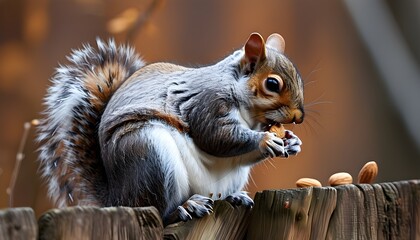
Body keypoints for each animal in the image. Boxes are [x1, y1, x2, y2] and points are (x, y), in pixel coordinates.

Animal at [37, 32, 304, 226]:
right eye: (272, 84)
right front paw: (264, 141)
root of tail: (118, 197)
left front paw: (291, 142)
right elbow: (217, 137)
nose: (299, 117)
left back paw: (233, 196)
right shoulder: (207, 103)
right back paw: (184, 208)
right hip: (148, 152)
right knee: (160, 211)